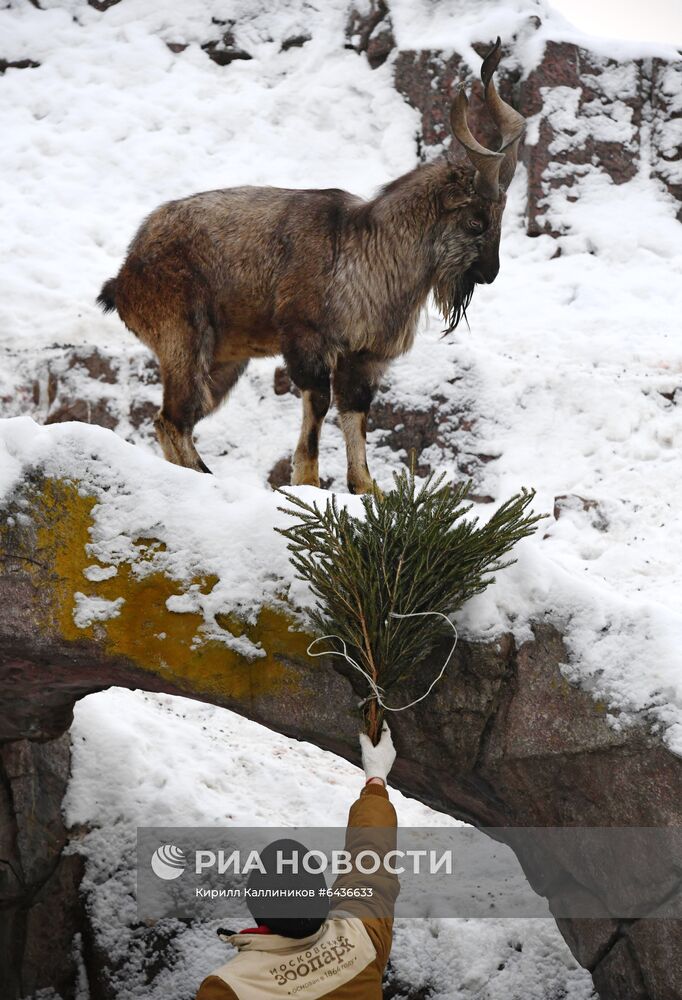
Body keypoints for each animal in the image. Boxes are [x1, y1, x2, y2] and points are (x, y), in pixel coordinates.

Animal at [97, 39, 520, 492]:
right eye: (475, 221)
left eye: (500, 218)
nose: (489, 274)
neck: (368, 250)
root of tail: (124, 276)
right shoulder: (305, 339)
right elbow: (317, 406)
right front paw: (308, 481)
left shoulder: (365, 357)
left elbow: (355, 415)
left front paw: (365, 487)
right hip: (183, 338)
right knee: (172, 419)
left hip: (225, 361)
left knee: (175, 421)